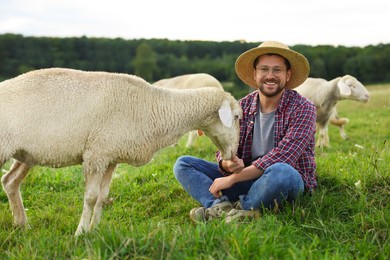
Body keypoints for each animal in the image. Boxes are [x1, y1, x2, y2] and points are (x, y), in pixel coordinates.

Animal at [0, 67, 242, 236]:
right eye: (237, 116)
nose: (235, 156)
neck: (154, 107)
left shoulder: (110, 157)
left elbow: (101, 197)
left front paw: (94, 230)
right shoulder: (95, 154)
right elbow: (90, 198)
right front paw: (80, 233)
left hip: (26, 153)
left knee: (9, 181)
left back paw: (22, 225)